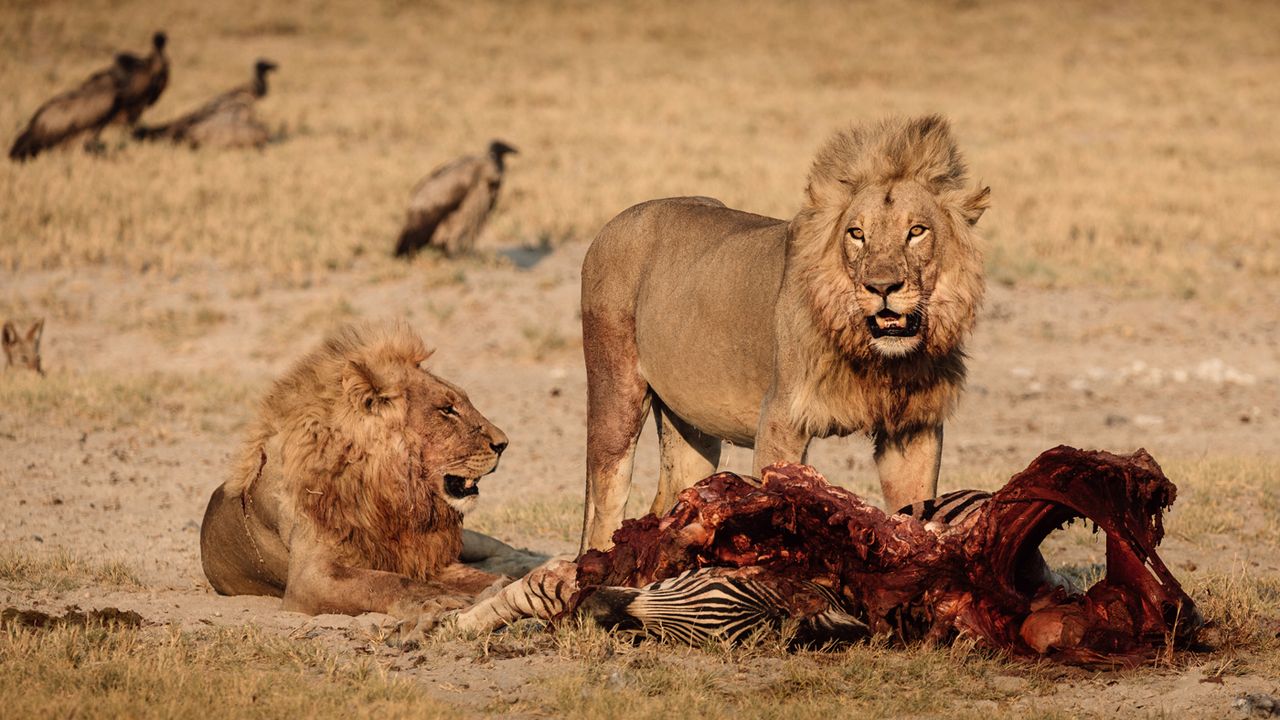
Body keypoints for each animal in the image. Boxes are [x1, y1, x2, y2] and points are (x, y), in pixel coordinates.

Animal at [200, 322, 515, 619]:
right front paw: (437, 598)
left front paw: (502, 583)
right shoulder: (309, 578)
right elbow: (387, 582)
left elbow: (479, 576)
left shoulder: (429, 557)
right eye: (447, 410)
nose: (503, 444)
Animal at [580, 115, 990, 551]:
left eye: (916, 231)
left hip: (691, 427)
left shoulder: (914, 429)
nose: (882, 287)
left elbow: (915, 505)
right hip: (615, 394)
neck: (877, 359)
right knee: (603, 517)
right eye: (856, 234)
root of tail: (611, 224)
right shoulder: (780, 418)